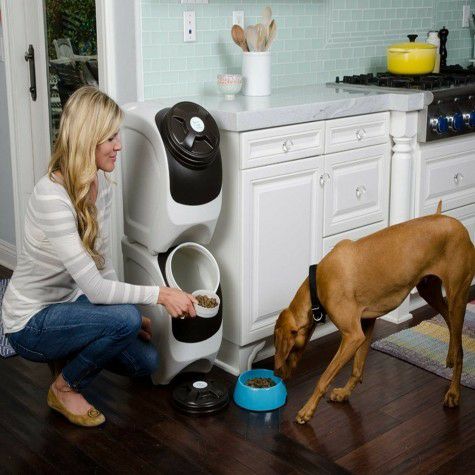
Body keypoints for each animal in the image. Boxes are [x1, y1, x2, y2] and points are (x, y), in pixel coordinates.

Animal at [274, 203, 475, 424]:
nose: (277, 374)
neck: (317, 284)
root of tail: (455, 222)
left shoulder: (353, 336)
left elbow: (324, 377)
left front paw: (307, 410)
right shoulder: (366, 324)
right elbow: (357, 368)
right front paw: (344, 393)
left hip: (458, 296)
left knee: (460, 347)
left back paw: (453, 393)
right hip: (430, 291)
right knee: (451, 326)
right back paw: (449, 356)